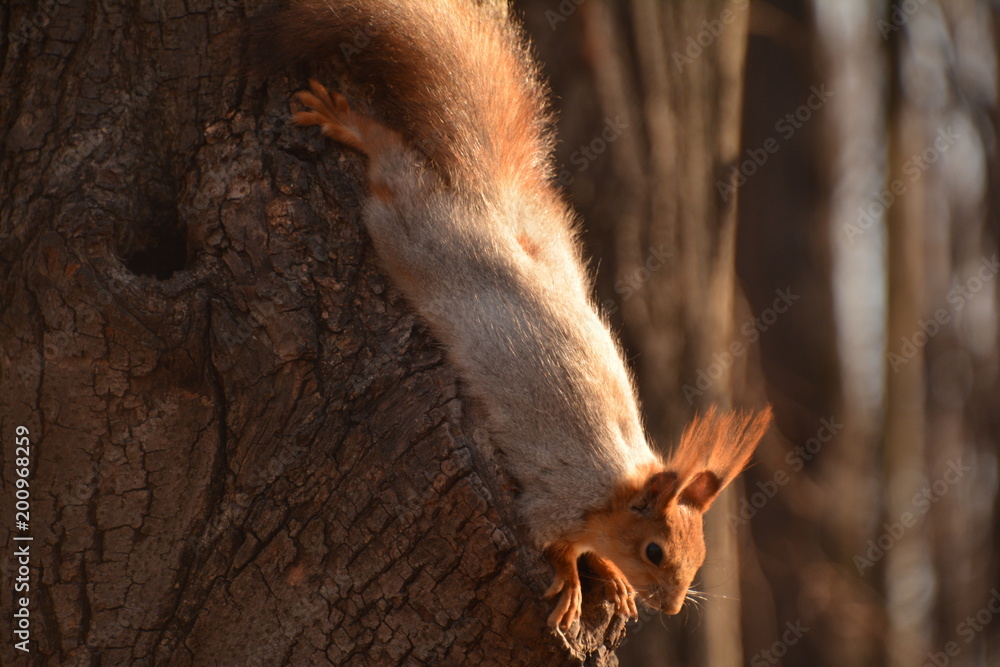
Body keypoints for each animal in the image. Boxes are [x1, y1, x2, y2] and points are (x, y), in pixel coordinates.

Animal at [248, 0, 773, 631]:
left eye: (697, 557)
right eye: (655, 551)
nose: (670, 606)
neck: (617, 485)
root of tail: (489, 207)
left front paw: (612, 578)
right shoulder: (555, 500)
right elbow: (554, 543)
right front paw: (575, 581)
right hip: (419, 235)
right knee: (395, 174)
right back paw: (348, 123)